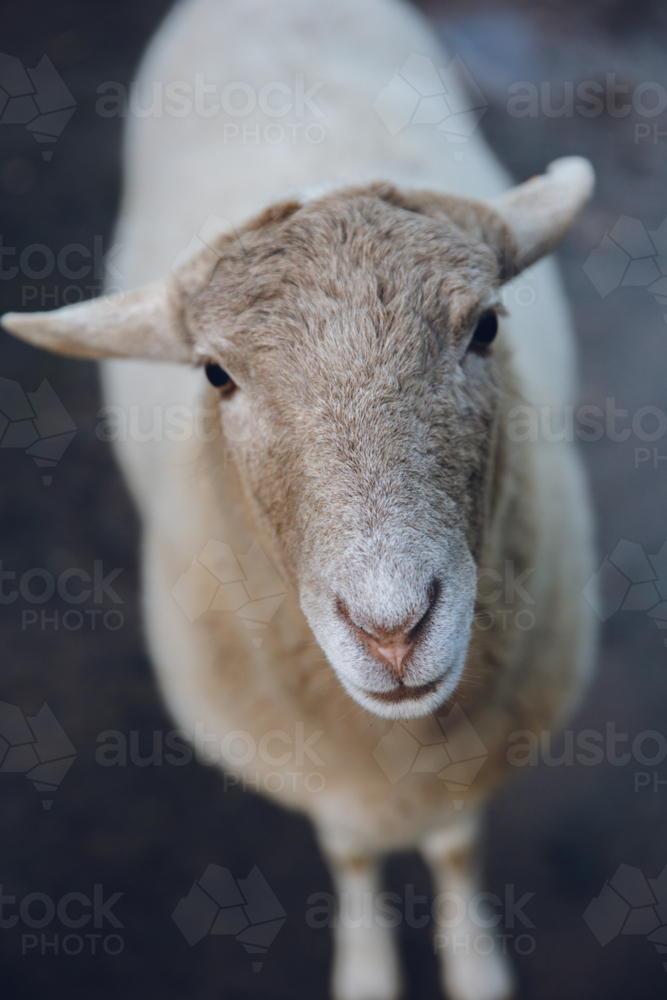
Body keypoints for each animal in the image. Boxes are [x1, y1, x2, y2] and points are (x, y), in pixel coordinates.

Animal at [0, 1, 596, 1000]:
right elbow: (352, 853)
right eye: (215, 375)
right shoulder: (325, 778)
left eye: (484, 327)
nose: (391, 631)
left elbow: (456, 847)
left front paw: (473, 963)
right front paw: (366, 969)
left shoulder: (468, 763)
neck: (394, 749)